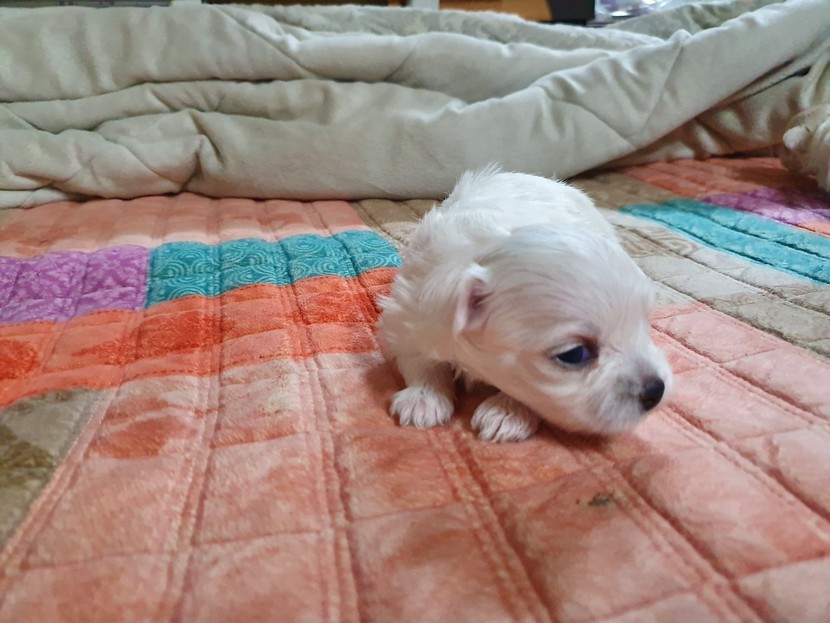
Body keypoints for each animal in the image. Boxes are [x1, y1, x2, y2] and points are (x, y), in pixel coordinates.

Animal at [377, 166, 673, 442]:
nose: (656, 390)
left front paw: (506, 413)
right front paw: (423, 399)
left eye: (644, 324)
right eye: (574, 354)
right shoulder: (409, 317)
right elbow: (419, 359)